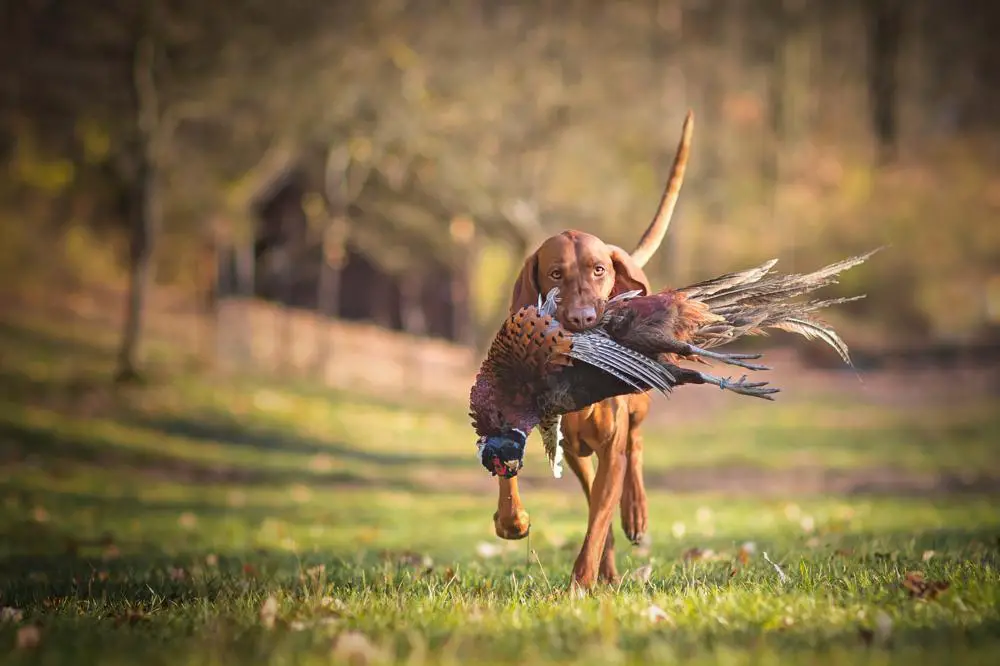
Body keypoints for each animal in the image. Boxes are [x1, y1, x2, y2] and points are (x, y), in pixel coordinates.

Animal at [488, 111, 692, 588]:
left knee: (635, 448)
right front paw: (512, 520)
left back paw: (635, 514)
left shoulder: (611, 451)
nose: (582, 318)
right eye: (555, 273)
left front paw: (579, 585)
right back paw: (611, 571)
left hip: (634, 413)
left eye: (598, 270)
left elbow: (598, 525)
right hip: (576, 453)